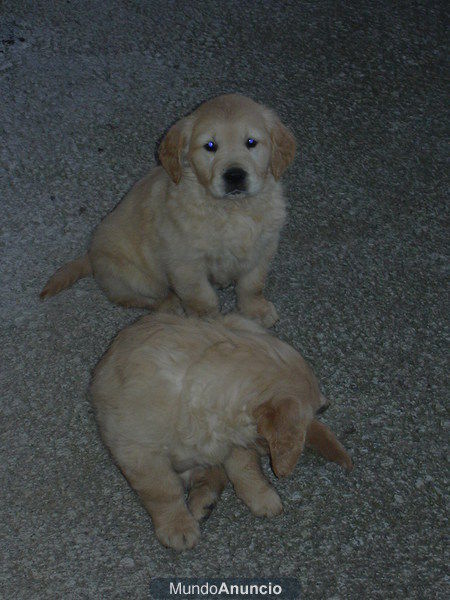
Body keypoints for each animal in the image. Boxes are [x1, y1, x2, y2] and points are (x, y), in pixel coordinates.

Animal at [41, 94, 296, 328]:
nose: (234, 176)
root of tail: (91, 255)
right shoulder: (185, 264)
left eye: (251, 142)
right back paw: (171, 306)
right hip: (134, 278)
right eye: (210, 146)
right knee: (142, 299)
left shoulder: (263, 248)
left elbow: (252, 284)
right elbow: (202, 297)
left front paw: (256, 310)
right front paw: (207, 322)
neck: (232, 210)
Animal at [90, 312, 352, 552]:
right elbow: (163, 492)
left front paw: (261, 495)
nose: (326, 404)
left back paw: (203, 500)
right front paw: (177, 526)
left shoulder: (236, 440)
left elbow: (245, 469)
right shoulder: (138, 453)